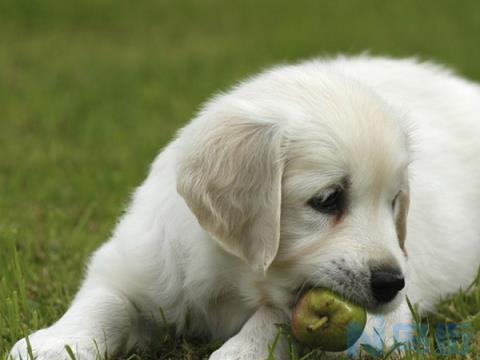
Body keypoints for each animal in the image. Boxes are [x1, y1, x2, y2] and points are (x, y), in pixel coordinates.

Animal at [10, 54, 480, 358]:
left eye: (394, 202)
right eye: (328, 200)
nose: (392, 283)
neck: (231, 276)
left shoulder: (381, 325)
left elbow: (273, 321)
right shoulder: (134, 262)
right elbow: (103, 302)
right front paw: (53, 344)